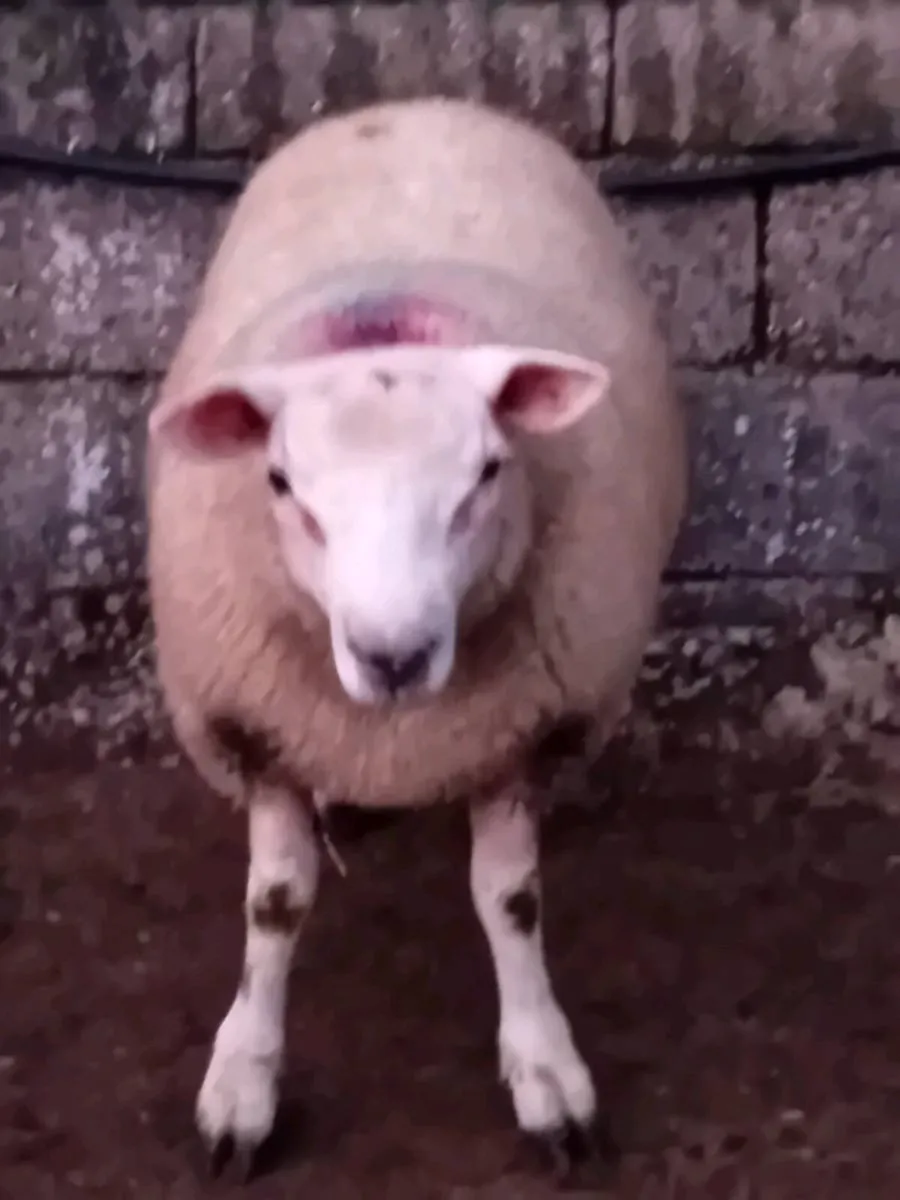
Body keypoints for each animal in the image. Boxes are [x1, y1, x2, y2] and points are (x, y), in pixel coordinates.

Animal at [145, 95, 687, 1183]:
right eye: (280, 483)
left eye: (487, 470)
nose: (392, 657)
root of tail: (413, 105)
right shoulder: (254, 727)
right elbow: (274, 906)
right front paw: (242, 1085)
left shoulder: (527, 727)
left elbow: (511, 901)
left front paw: (546, 1071)